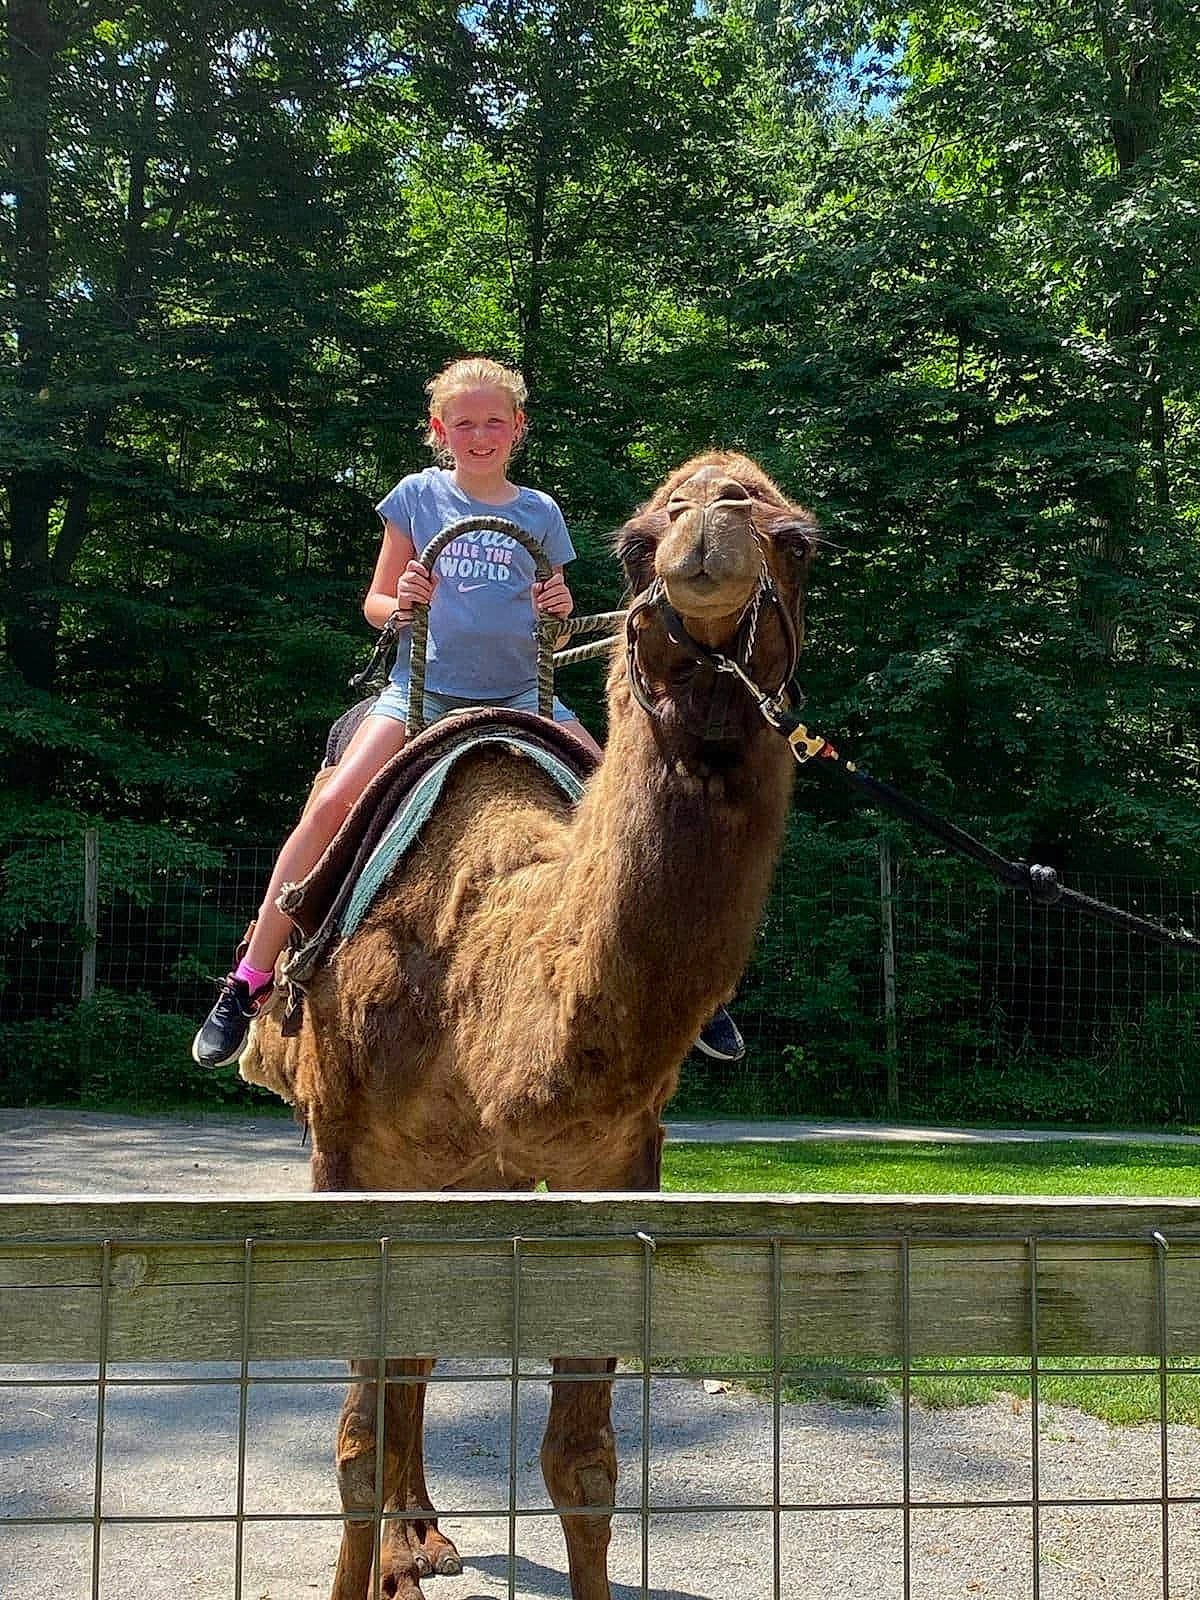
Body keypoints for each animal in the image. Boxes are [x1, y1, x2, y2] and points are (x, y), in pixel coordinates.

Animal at [240, 451, 818, 1600]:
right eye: (640, 540)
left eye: (802, 541)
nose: (710, 519)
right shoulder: (347, 1151)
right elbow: (355, 1439)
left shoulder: (612, 1157)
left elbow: (584, 1461)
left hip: (462, 1178)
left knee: (421, 1350)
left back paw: (424, 1542)